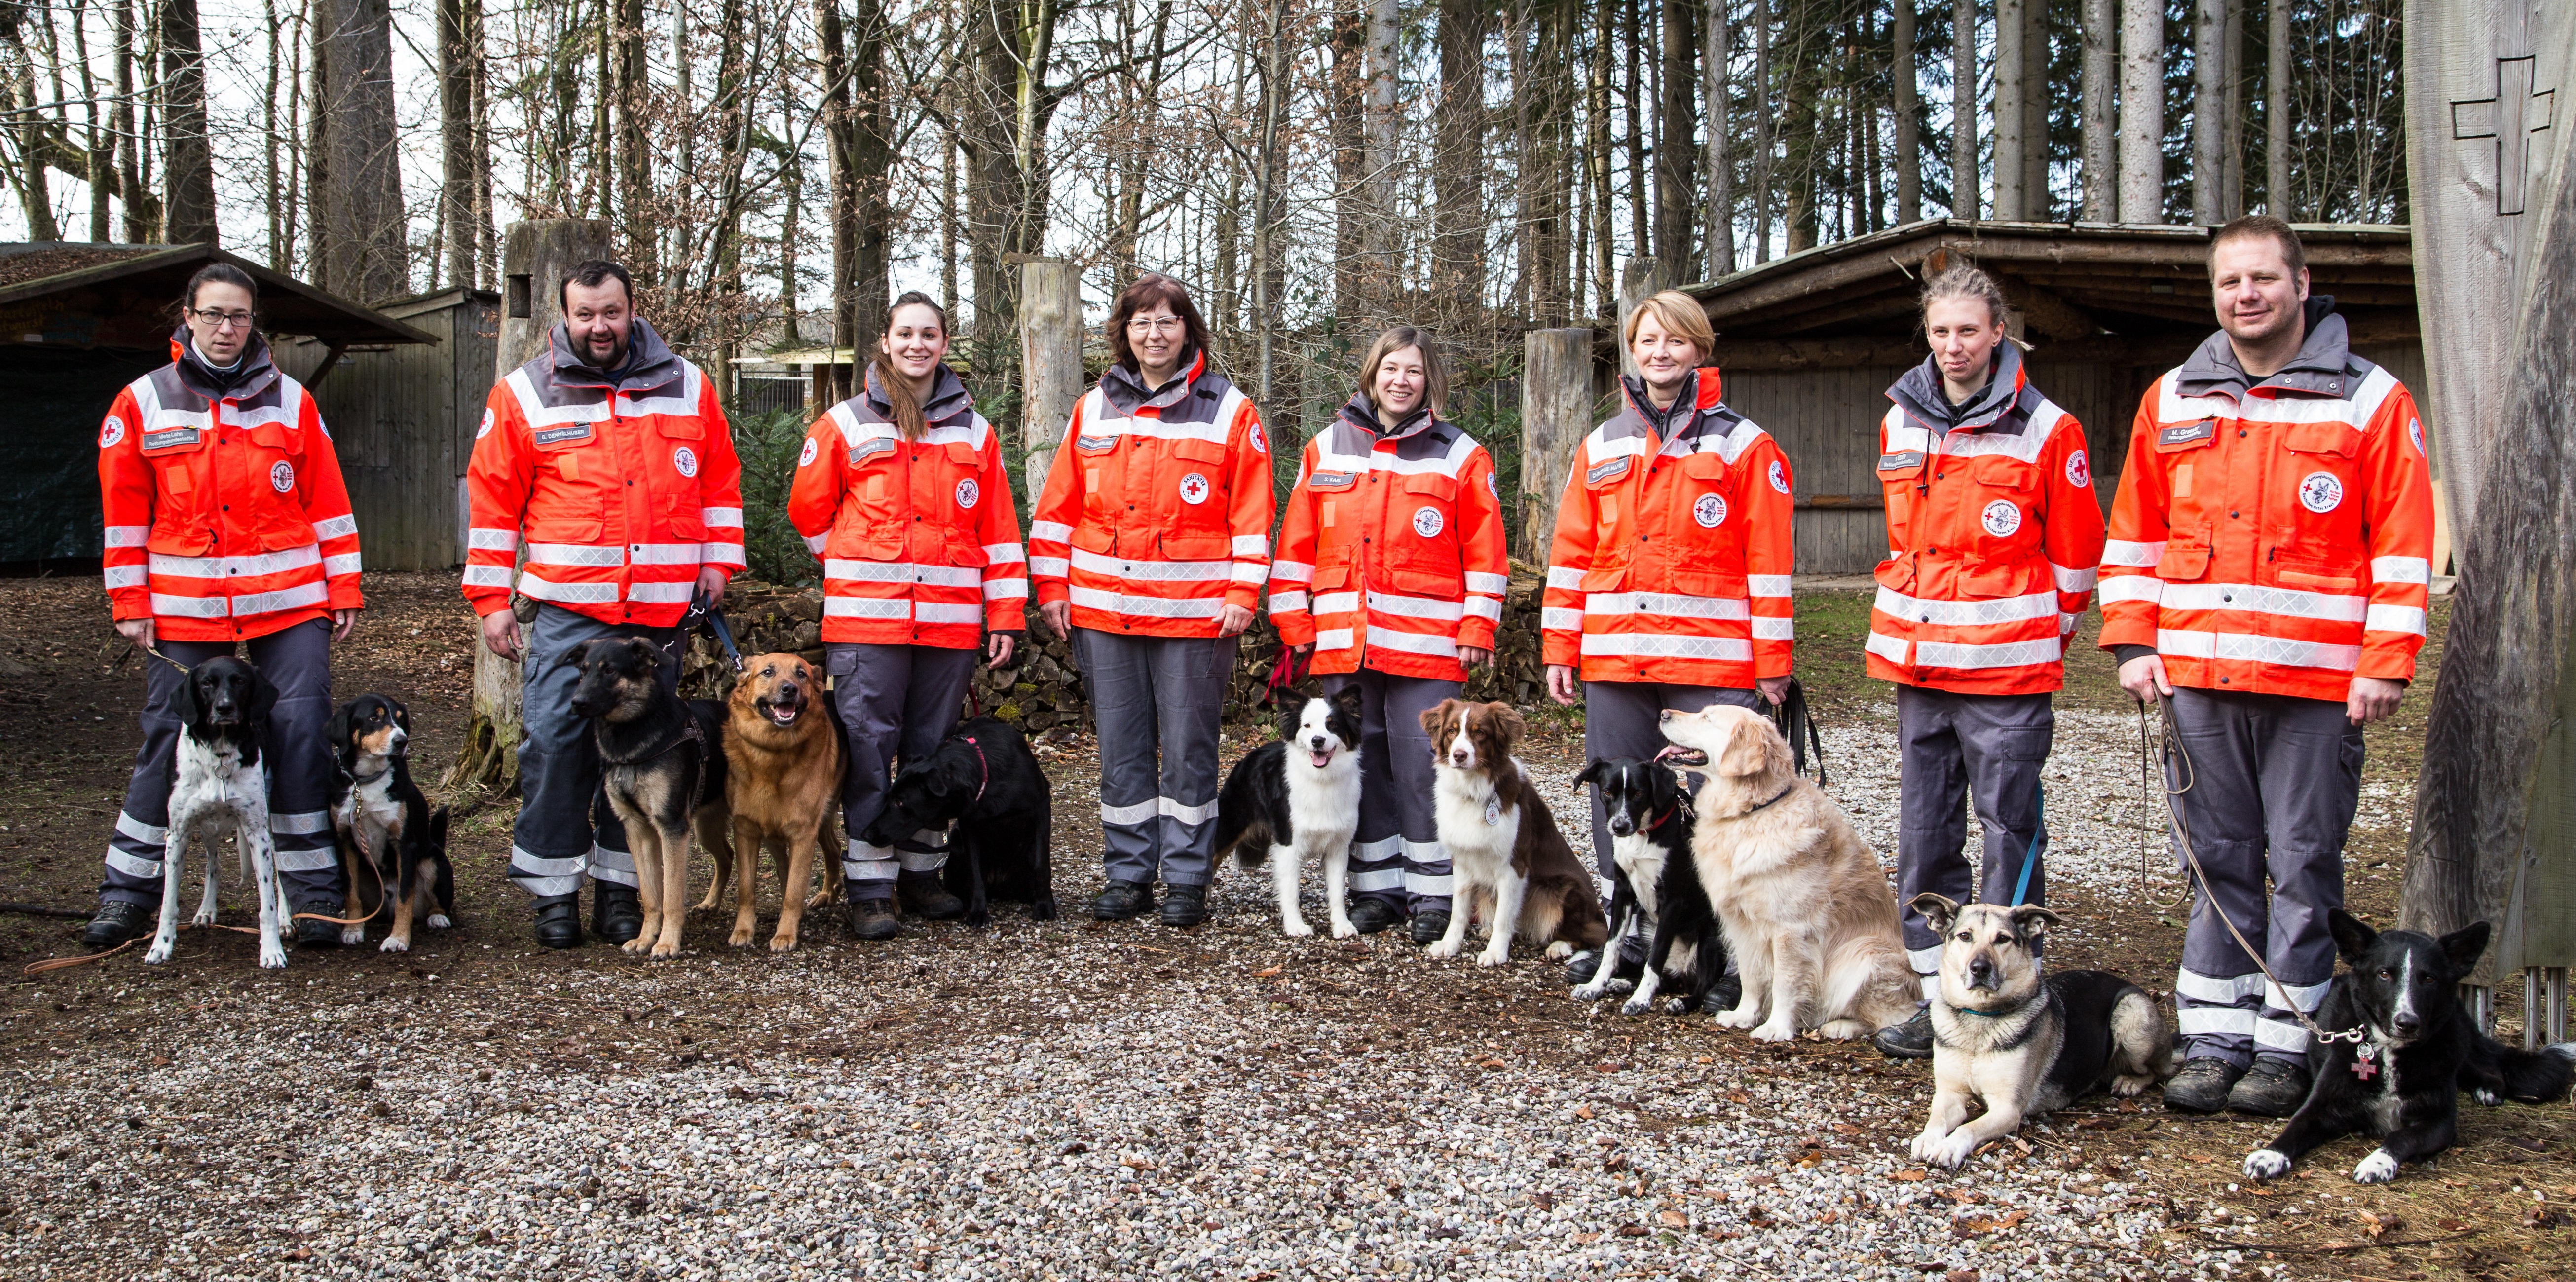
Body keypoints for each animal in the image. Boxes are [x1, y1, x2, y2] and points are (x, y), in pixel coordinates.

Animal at [327, 690, 458, 952]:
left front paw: (398, 938)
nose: (402, 741)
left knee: (435, 903)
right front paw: (353, 930)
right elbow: (350, 892)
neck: (366, 782)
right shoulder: (344, 840)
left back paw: (437, 918)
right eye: (374, 718)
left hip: (431, 861)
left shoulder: (405, 844)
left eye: (401, 719)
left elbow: (404, 898)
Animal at [559, 636, 731, 957]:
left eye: (610, 670)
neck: (635, 730)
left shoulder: (671, 828)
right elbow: (651, 895)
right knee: (727, 856)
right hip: (705, 826)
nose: (576, 703)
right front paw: (645, 937)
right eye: (583, 671)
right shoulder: (637, 829)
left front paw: (667, 942)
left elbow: (671, 895)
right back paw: (711, 903)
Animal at [706, 656, 845, 947]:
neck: (773, 753)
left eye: (801, 674)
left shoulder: (803, 834)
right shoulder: (746, 831)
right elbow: (747, 888)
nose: (789, 689)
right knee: (832, 848)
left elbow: (794, 890)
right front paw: (743, 930)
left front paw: (785, 934)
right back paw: (828, 893)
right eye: (767, 672)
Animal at [1556, 756, 1741, 1014]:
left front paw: (1640, 1000)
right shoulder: (1623, 891)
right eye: (1607, 792)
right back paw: (1622, 983)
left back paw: (1682, 1002)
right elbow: (1611, 948)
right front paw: (1595, 986)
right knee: (1667, 980)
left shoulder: (1672, 902)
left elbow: (1655, 960)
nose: (1620, 827)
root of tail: (1684, 968)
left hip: (1712, 935)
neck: (1644, 832)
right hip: (1645, 922)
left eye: (1639, 793)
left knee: (1703, 987)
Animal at [2236, 906, 2576, 1189]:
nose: (2407, 1023)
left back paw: (2488, 1090)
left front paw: (2377, 1162)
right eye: (2385, 974)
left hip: (2457, 1045)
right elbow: (2294, 1126)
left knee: (2491, 1067)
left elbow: (2401, 1136)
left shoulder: (2439, 1123)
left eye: (2429, 979)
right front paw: (2270, 1155)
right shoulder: (2320, 1106)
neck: (2388, 1051)